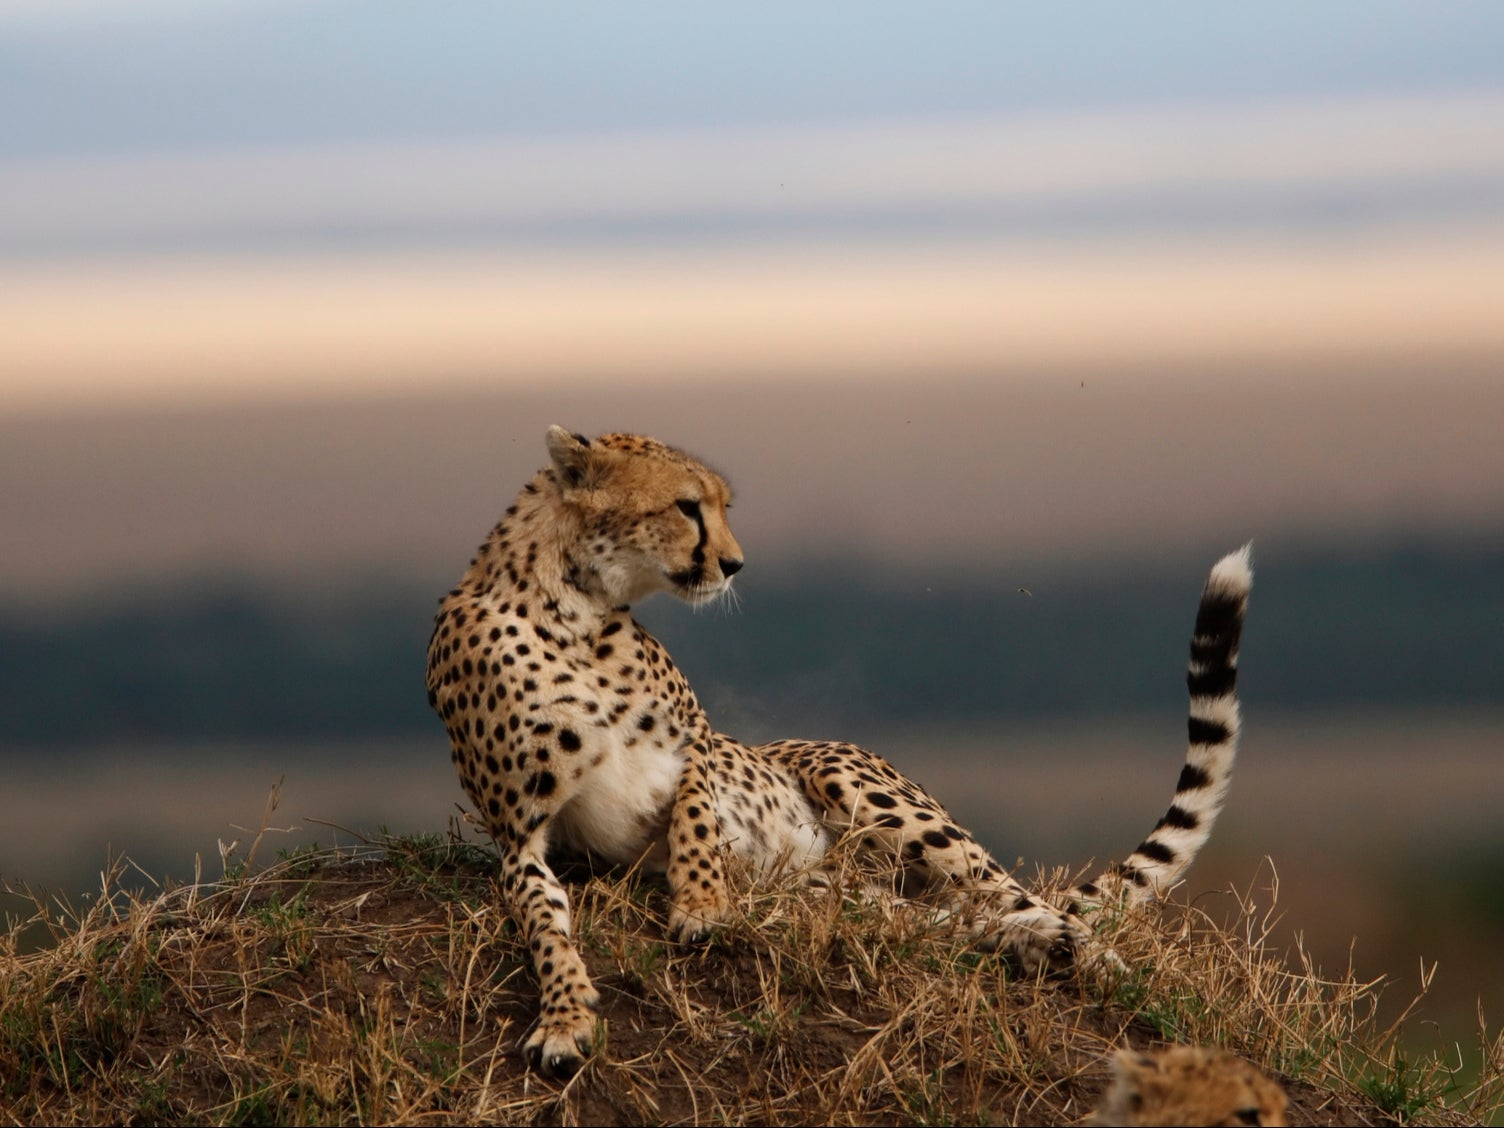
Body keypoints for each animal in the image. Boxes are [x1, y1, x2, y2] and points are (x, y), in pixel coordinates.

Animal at [427, 430, 1257, 1076]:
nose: (734, 564)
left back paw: (1088, 959)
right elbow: (544, 926)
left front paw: (700, 904)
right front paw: (565, 1018)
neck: (573, 609)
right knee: (945, 920)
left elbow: (693, 814)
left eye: (720, 505)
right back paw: (1022, 950)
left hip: (858, 788)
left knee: (1025, 899)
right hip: (837, 893)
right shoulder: (523, 838)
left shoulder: (704, 751)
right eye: (687, 506)